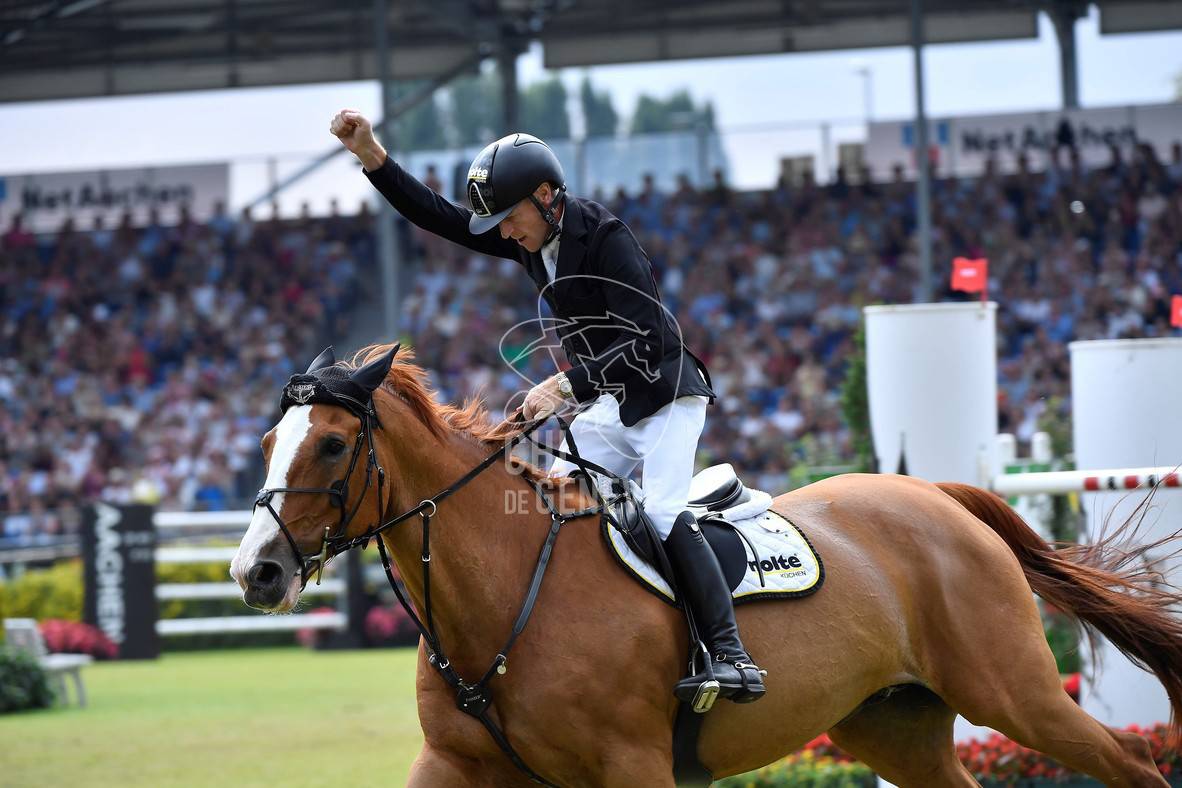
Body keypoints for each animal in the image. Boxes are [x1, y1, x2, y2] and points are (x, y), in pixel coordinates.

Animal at [228, 347, 1182, 788]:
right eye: (272, 440)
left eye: (334, 445)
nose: (256, 574)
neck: (499, 597)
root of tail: (940, 499)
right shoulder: (454, 766)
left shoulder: (634, 766)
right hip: (894, 723)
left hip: (1013, 693)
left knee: (1131, 762)